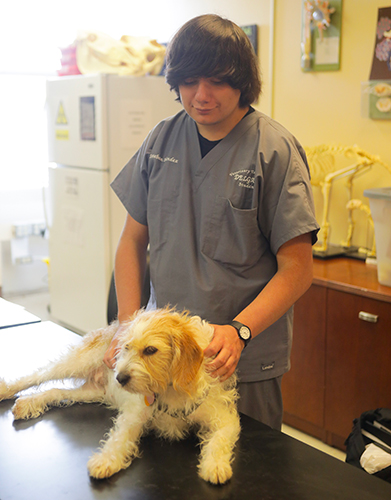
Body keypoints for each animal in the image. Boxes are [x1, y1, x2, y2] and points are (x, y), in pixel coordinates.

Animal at [0, 308, 240, 484]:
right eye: (126, 347)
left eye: (150, 350)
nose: (120, 377)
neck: (171, 388)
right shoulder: (135, 414)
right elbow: (119, 438)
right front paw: (106, 460)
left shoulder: (225, 418)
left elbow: (219, 440)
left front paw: (216, 466)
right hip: (76, 363)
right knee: (38, 375)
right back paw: (8, 390)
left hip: (93, 392)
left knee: (56, 391)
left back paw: (29, 403)